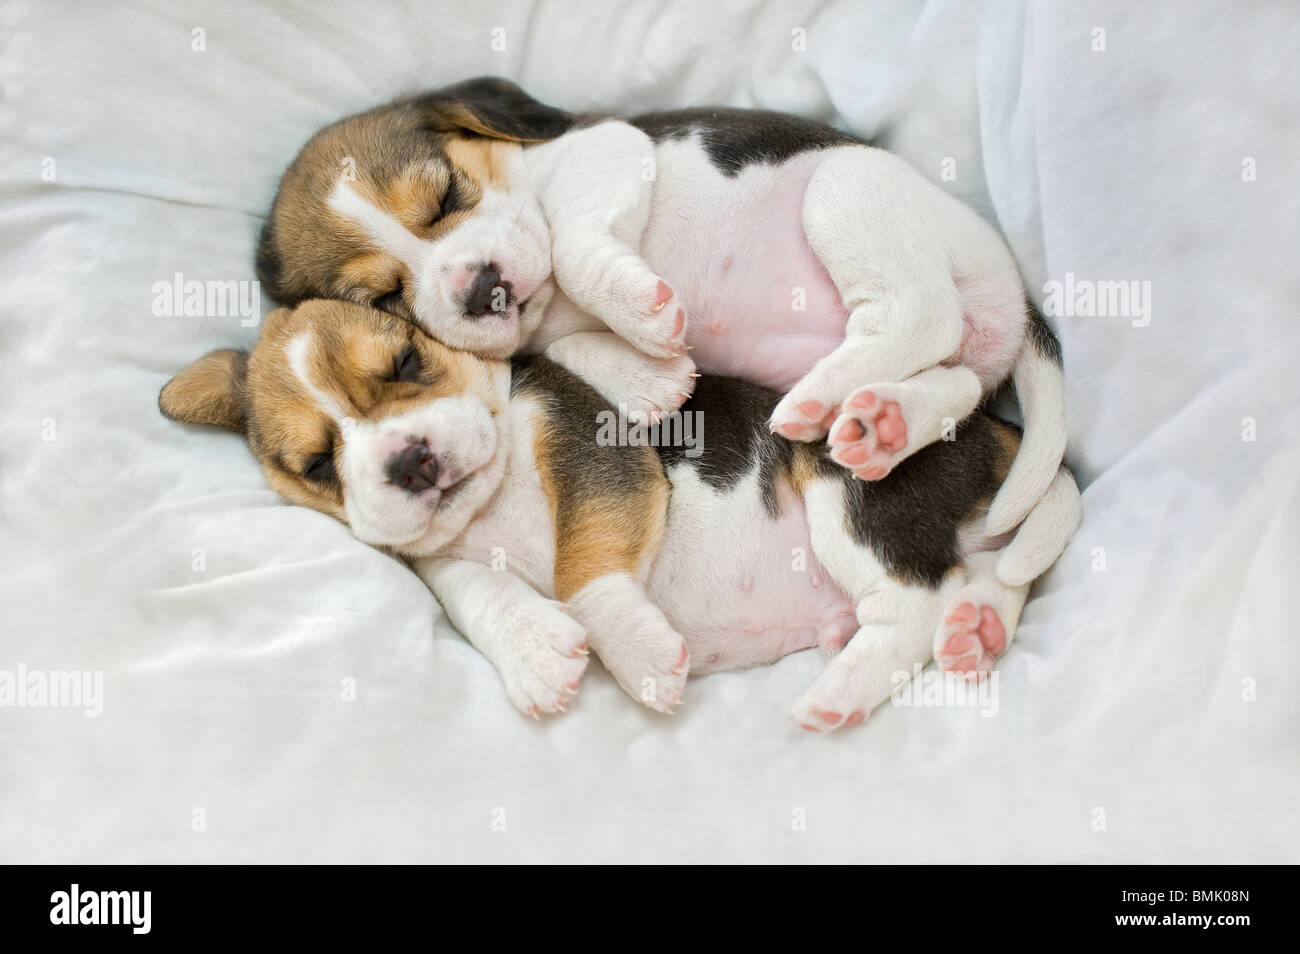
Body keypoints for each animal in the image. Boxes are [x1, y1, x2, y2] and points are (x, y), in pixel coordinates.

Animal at [157, 300, 1081, 733]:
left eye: (409, 362)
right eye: (318, 464)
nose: (409, 461)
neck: (491, 499)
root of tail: (991, 430)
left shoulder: (598, 462)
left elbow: (584, 571)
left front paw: (632, 650)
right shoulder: (441, 561)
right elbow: (473, 593)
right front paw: (535, 656)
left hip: (842, 487)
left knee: (911, 603)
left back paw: (841, 692)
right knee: (985, 578)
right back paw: (973, 634)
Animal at [253, 80, 1066, 561]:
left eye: (448, 194)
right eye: (381, 298)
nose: (482, 289)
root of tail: (1015, 291)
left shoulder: (608, 152)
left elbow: (575, 246)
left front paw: (639, 311)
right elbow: (570, 349)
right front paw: (646, 373)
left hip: (844, 191)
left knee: (921, 313)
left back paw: (826, 394)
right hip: (935, 343)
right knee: (955, 380)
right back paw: (874, 420)